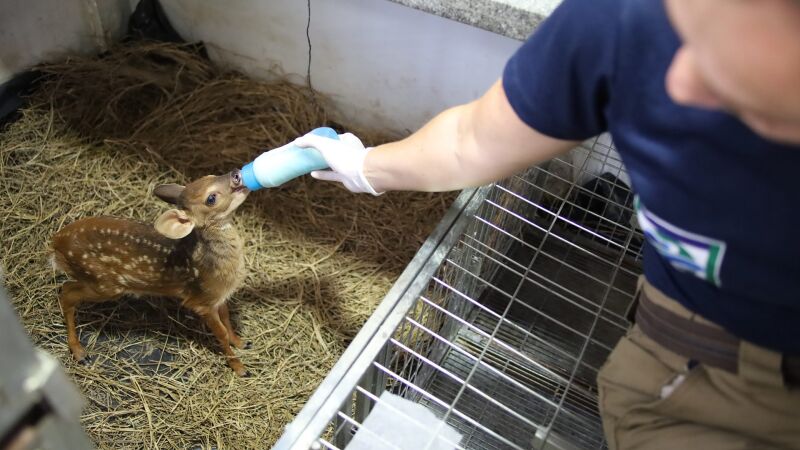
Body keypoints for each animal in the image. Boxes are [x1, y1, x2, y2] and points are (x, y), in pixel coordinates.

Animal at [50, 170, 250, 376]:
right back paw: (79, 352)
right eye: (211, 198)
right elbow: (221, 333)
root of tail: (56, 241)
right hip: (103, 283)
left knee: (66, 287)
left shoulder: (219, 296)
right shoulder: (201, 301)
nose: (236, 174)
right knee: (67, 292)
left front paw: (241, 342)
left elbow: (226, 318)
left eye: (210, 175)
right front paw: (239, 367)